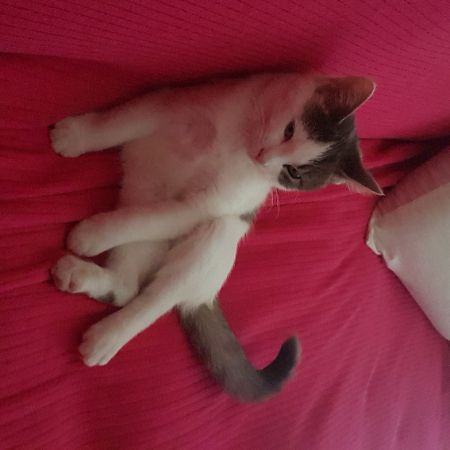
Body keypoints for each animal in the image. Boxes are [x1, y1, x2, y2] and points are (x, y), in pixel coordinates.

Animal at [50, 72, 382, 402]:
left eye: (293, 173)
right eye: (290, 130)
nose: (263, 157)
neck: (239, 142)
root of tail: (207, 293)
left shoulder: (205, 206)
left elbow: (146, 220)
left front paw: (90, 235)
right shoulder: (164, 106)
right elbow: (115, 125)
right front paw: (74, 137)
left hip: (218, 234)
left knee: (154, 297)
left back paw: (107, 337)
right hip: (145, 191)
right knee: (126, 286)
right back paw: (81, 276)